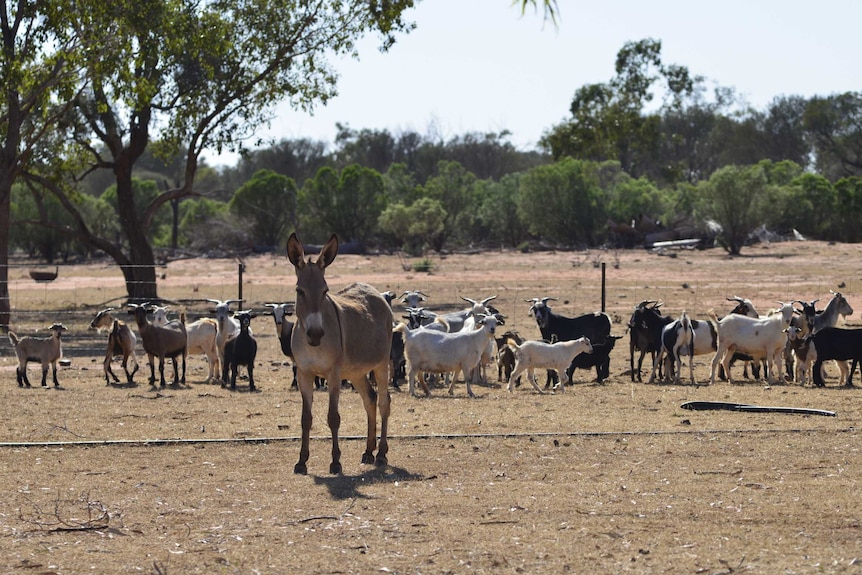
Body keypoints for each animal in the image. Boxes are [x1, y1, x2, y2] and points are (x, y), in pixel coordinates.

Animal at [286, 232, 392, 474]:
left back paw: (381, 454)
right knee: (370, 399)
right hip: (355, 372)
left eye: (325, 291)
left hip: (381, 364)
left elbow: (333, 417)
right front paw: (301, 461)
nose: (316, 334)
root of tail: (373, 291)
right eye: (299, 291)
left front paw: (335, 462)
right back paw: (368, 451)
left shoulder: (333, 375)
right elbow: (305, 418)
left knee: (384, 401)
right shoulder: (304, 374)